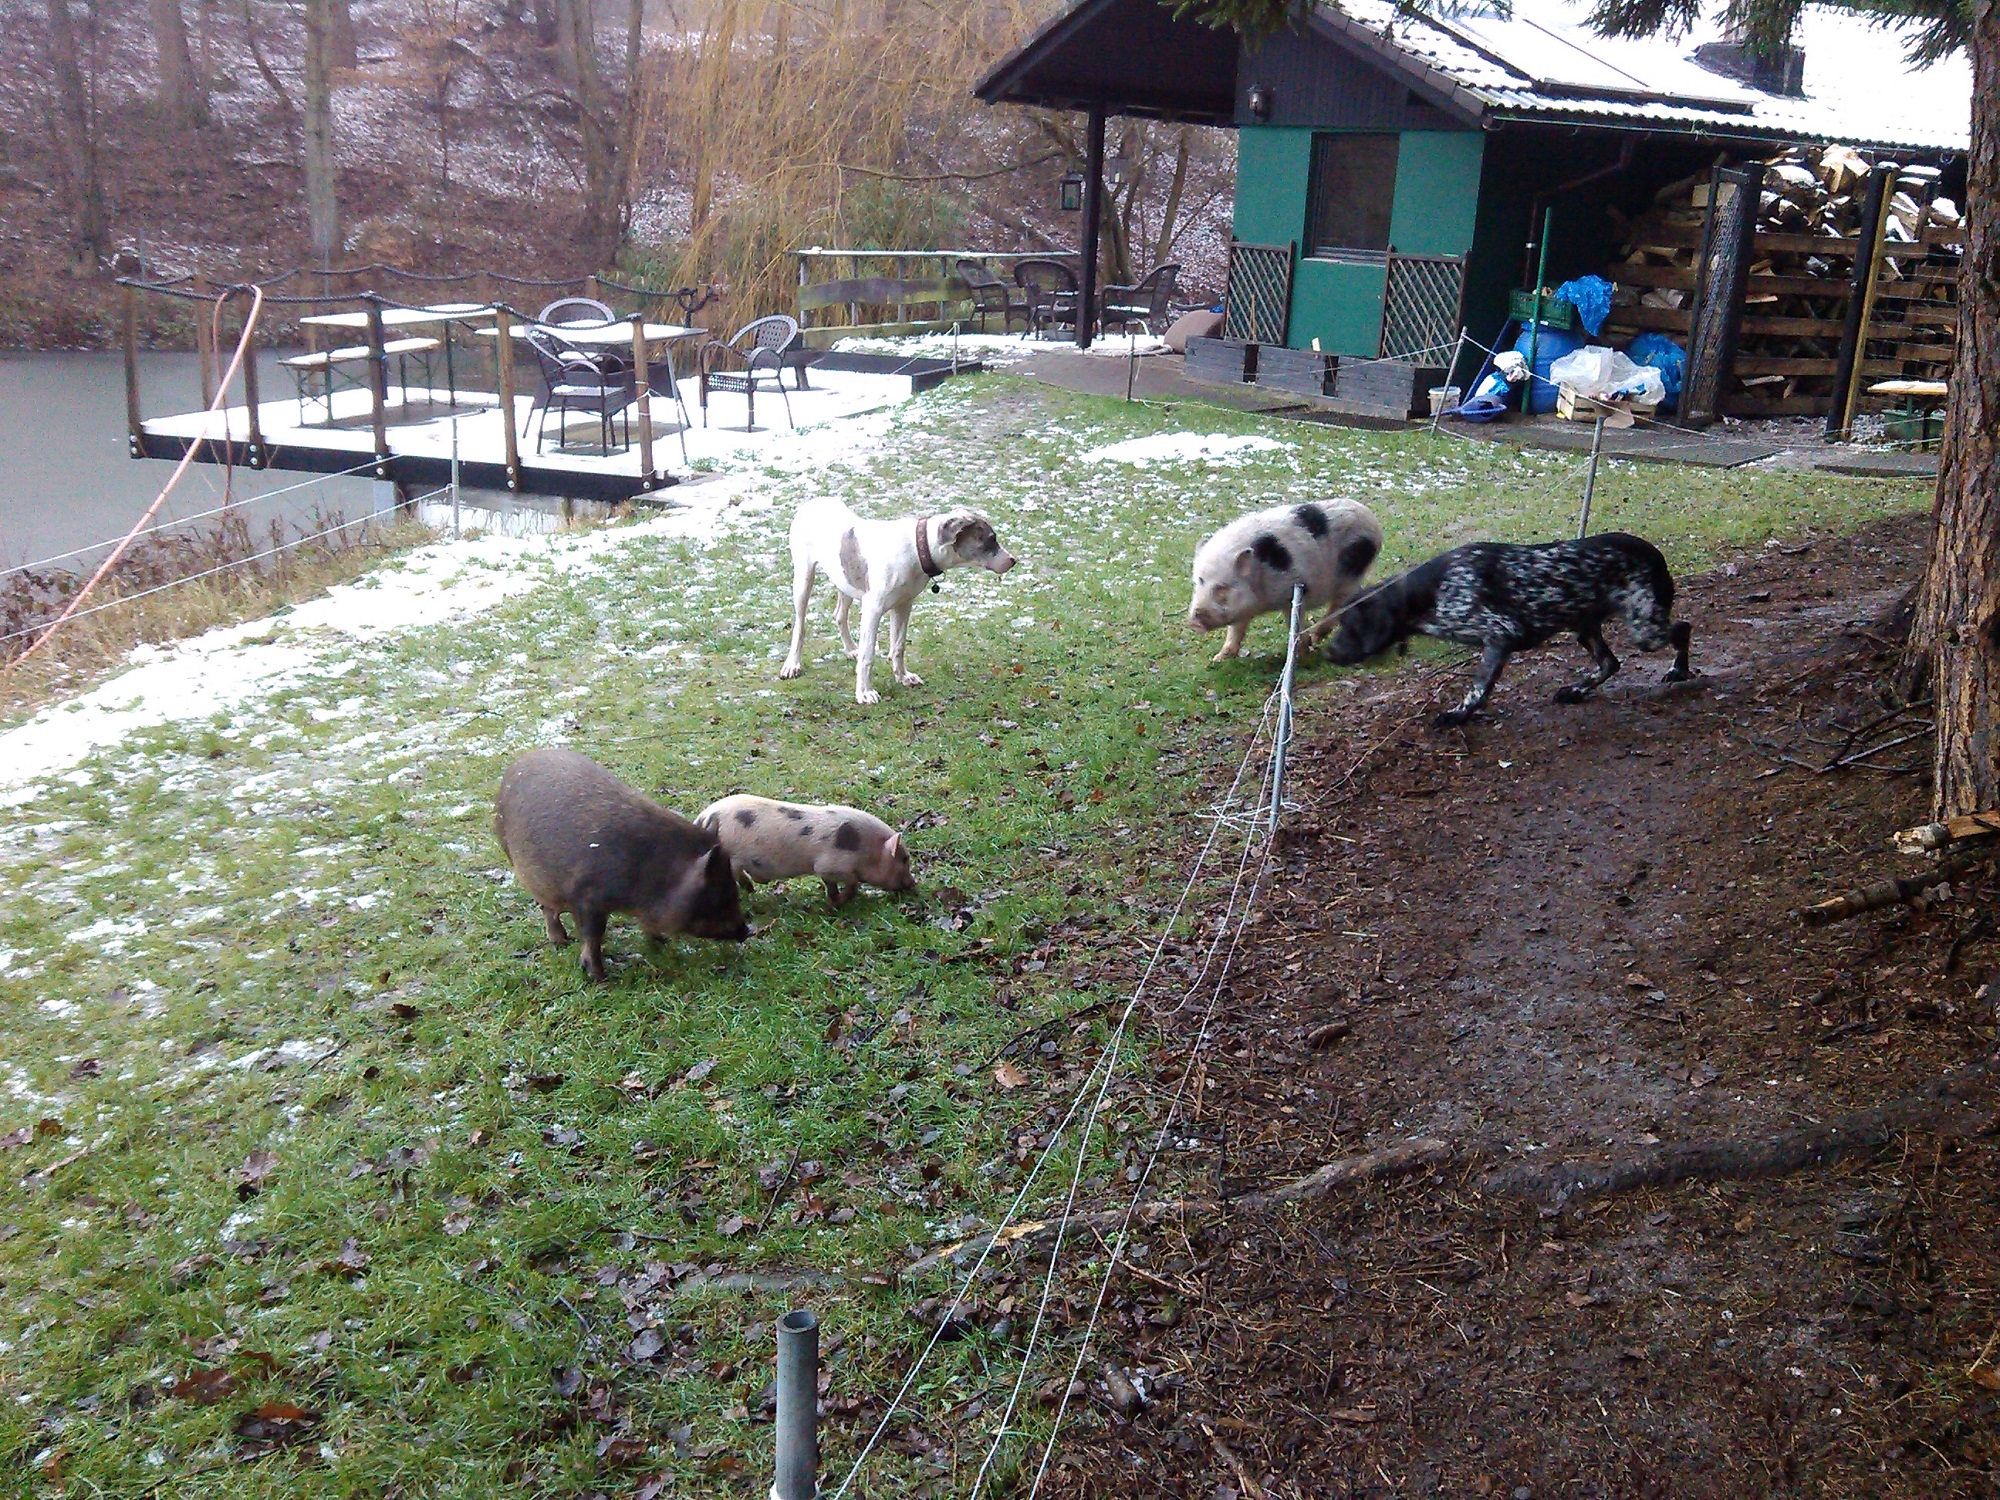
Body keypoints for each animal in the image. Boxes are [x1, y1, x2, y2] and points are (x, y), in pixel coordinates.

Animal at [494, 748, 750, 980]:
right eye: (721, 896)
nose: (746, 931)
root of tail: (513, 767)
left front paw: (661, 944)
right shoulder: (587, 898)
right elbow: (593, 935)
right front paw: (599, 977)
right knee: (547, 909)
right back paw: (562, 942)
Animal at [695, 795, 915, 909]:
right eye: (905, 859)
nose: (914, 883)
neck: (866, 849)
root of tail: (706, 816)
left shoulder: (826, 871)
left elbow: (831, 884)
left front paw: (832, 899)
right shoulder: (829, 865)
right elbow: (852, 884)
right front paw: (836, 903)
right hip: (731, 855)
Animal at [780, 498, 1016, 703]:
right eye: (991, 539)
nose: (1013, 560)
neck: (919, 548)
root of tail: (812, 502)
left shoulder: (904, 604)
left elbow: (899, 646)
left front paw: (902, 677)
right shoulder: (873, 608)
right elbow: (868, 654)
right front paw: (865, 692)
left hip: (846, 580)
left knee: (839, 615)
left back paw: (850, 648)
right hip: (803, 578)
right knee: (800, 626)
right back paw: (792, 664)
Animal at [1187, 500, 1384, 661]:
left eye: (1222, 587)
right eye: (1199, 582)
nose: (1194, 622)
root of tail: (1372, 519)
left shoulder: (1296, 591)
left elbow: (1294, 623)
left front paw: (1302, 654)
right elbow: (1236, 629)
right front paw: (1218, 659)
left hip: (1351, 574)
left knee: (1340, 604)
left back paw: (1316, 638)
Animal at [1325, 533, 1692, 728]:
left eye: (1350, 624)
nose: (1329, 652)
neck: (1430, 590)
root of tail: (1655, 554)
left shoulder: (1501, 634)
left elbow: (1476, 689)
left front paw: (1458, 715)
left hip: (1645, 628)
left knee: (1683, 628)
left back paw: (1679, 670)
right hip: (1586, 628)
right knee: (1609, 664)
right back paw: (1576, 690)